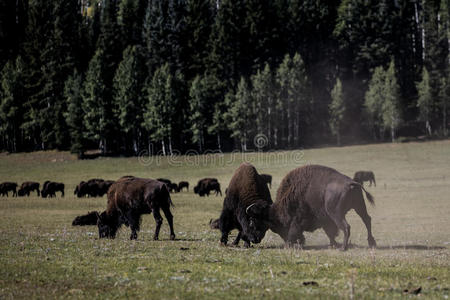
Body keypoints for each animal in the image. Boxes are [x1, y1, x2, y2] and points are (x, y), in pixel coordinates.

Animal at [246, 164, 376, 251]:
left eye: (254, 221)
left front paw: (288, 245)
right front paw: (332, 244)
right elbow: (330, 232)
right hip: (359, 207)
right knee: (367, 220)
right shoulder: (325, 220)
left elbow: (294, 230)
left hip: (336, 213)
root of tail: (351, 183)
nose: (254, 239)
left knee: (346, 227)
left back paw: (343, 248)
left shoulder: (298, 220)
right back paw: (371, 243)